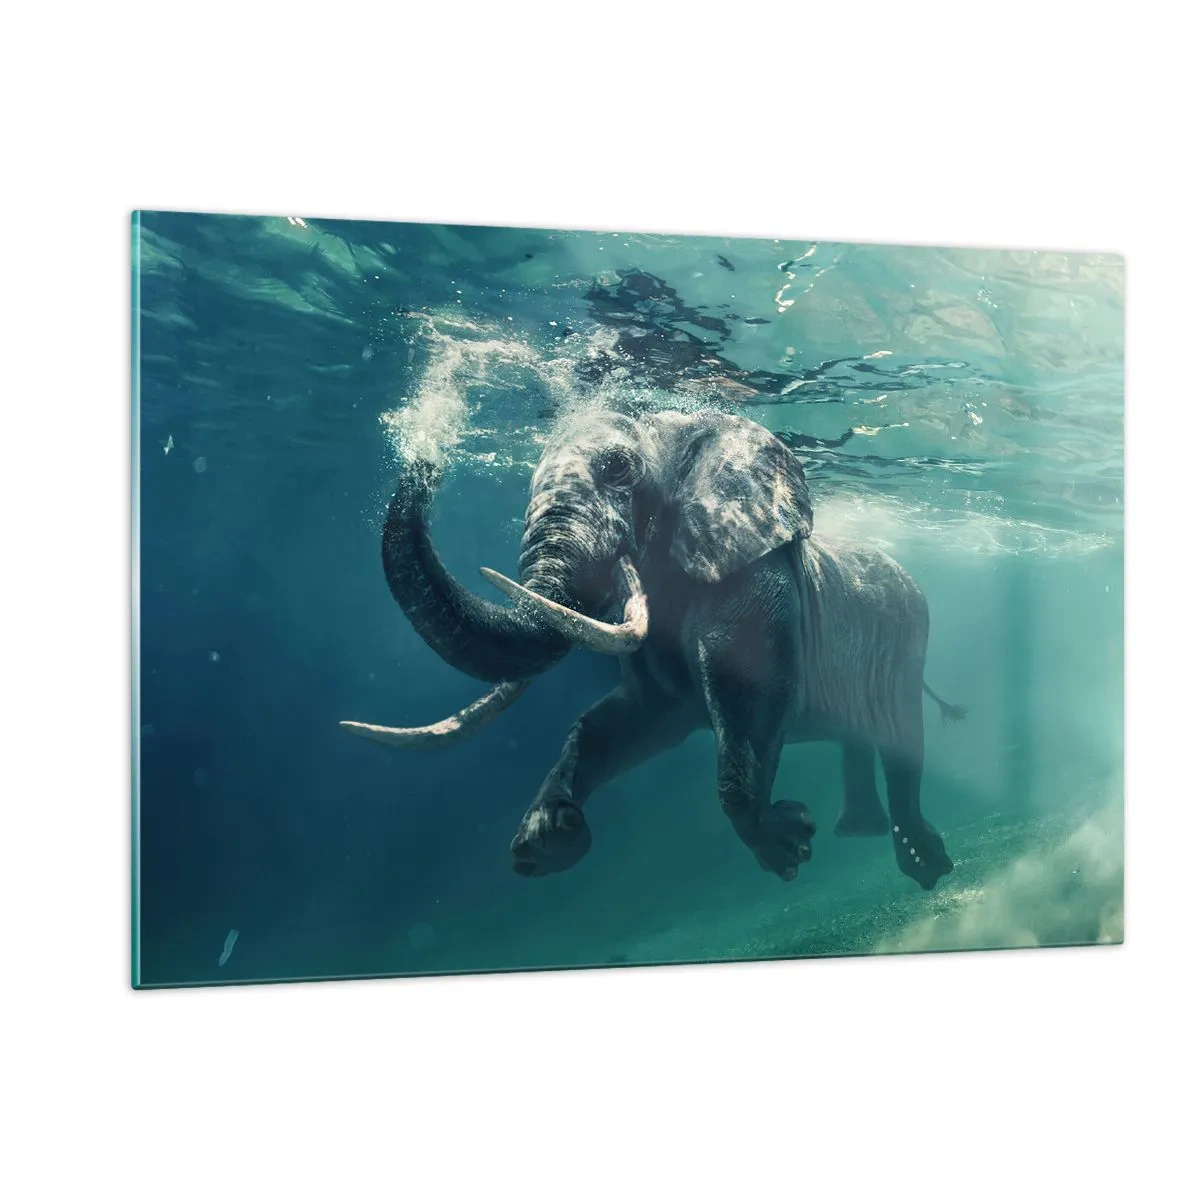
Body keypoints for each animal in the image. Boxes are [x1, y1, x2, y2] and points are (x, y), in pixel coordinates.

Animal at [341, 405, 965, 890]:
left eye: (617, 468)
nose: (425, 454)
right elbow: (627, 721)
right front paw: (547, 839)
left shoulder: (752, 573)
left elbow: (753, 697)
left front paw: (788, 846)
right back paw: (859, 832)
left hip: (909, 638)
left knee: (903, 742)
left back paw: (925, 866)